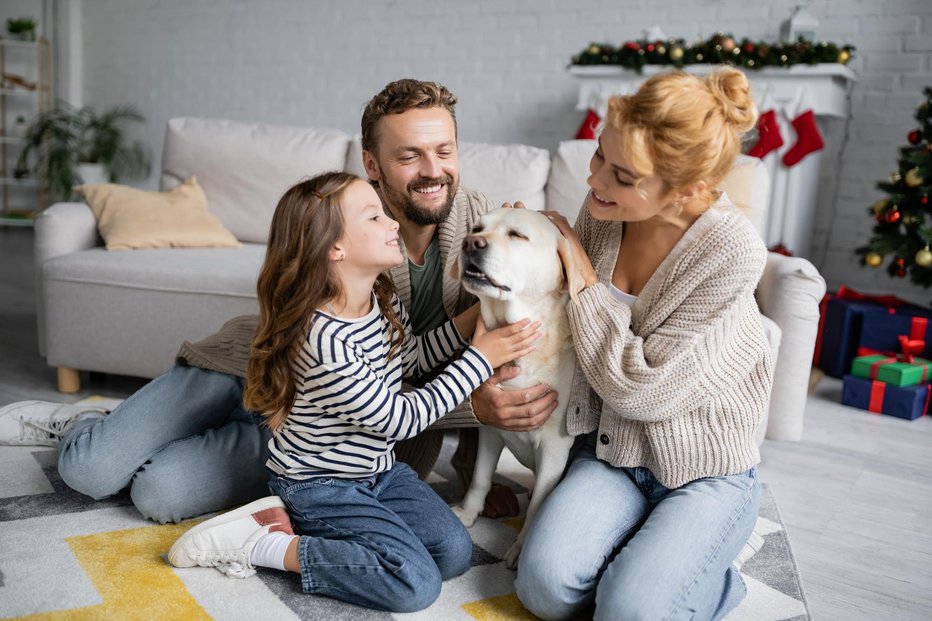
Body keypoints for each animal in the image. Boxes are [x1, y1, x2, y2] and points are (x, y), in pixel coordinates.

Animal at [452, 207, 584, 568]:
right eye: (476, 228)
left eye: (517, 236)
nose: (470, 243)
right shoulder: (490, 427)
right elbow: (480, 477)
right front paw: (468, 514)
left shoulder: (555, 447)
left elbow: (538, 502)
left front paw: (521, 548)